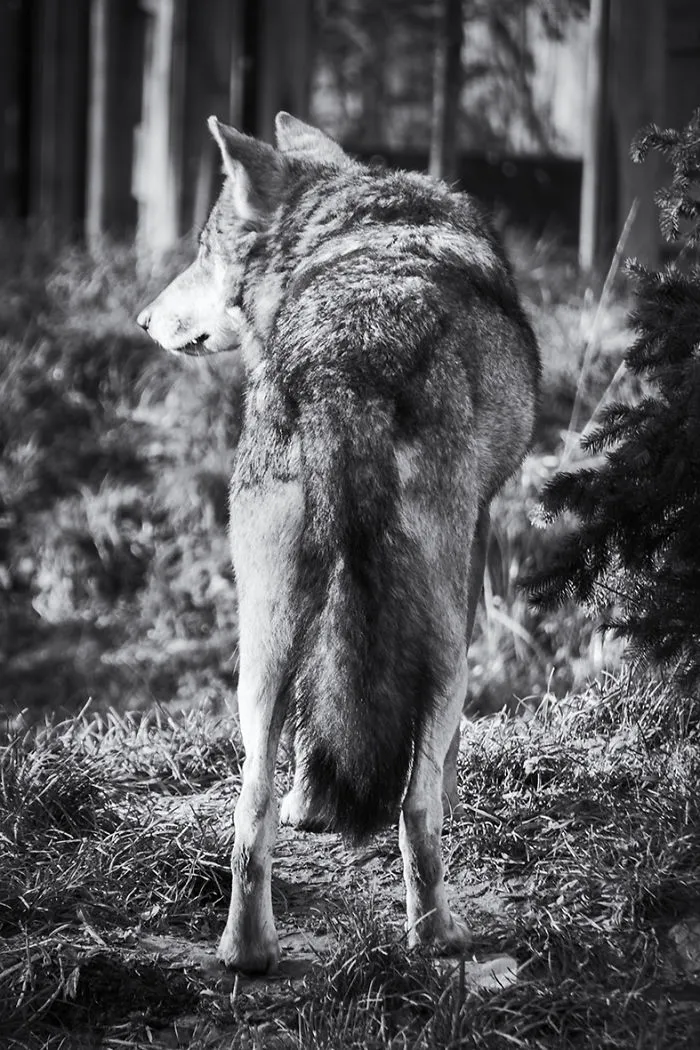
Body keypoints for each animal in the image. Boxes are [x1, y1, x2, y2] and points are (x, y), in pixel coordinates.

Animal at [137, 113, 539, 973]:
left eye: (202, 252)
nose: (144, 320)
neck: (359, 218)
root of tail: (343, 366)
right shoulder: (481, 540)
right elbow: (442, 765)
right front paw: (452, 796)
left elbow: (311, 730)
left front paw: (311, 805)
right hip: (442, 648)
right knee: (414, 812)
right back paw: (438, 936)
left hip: (259, 647)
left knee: (249, 809)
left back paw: (247, 951)